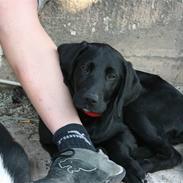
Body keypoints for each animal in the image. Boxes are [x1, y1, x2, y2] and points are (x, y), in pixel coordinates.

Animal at [39, 42, 183, 183]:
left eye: (112, 76)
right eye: (84, 68)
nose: (90, 99)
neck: (88, 118)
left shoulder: (123, 131)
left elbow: (118, 146)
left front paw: (131, 169)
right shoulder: (47, 139)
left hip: (135, 111)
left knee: (174, 155)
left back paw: (141, 163)